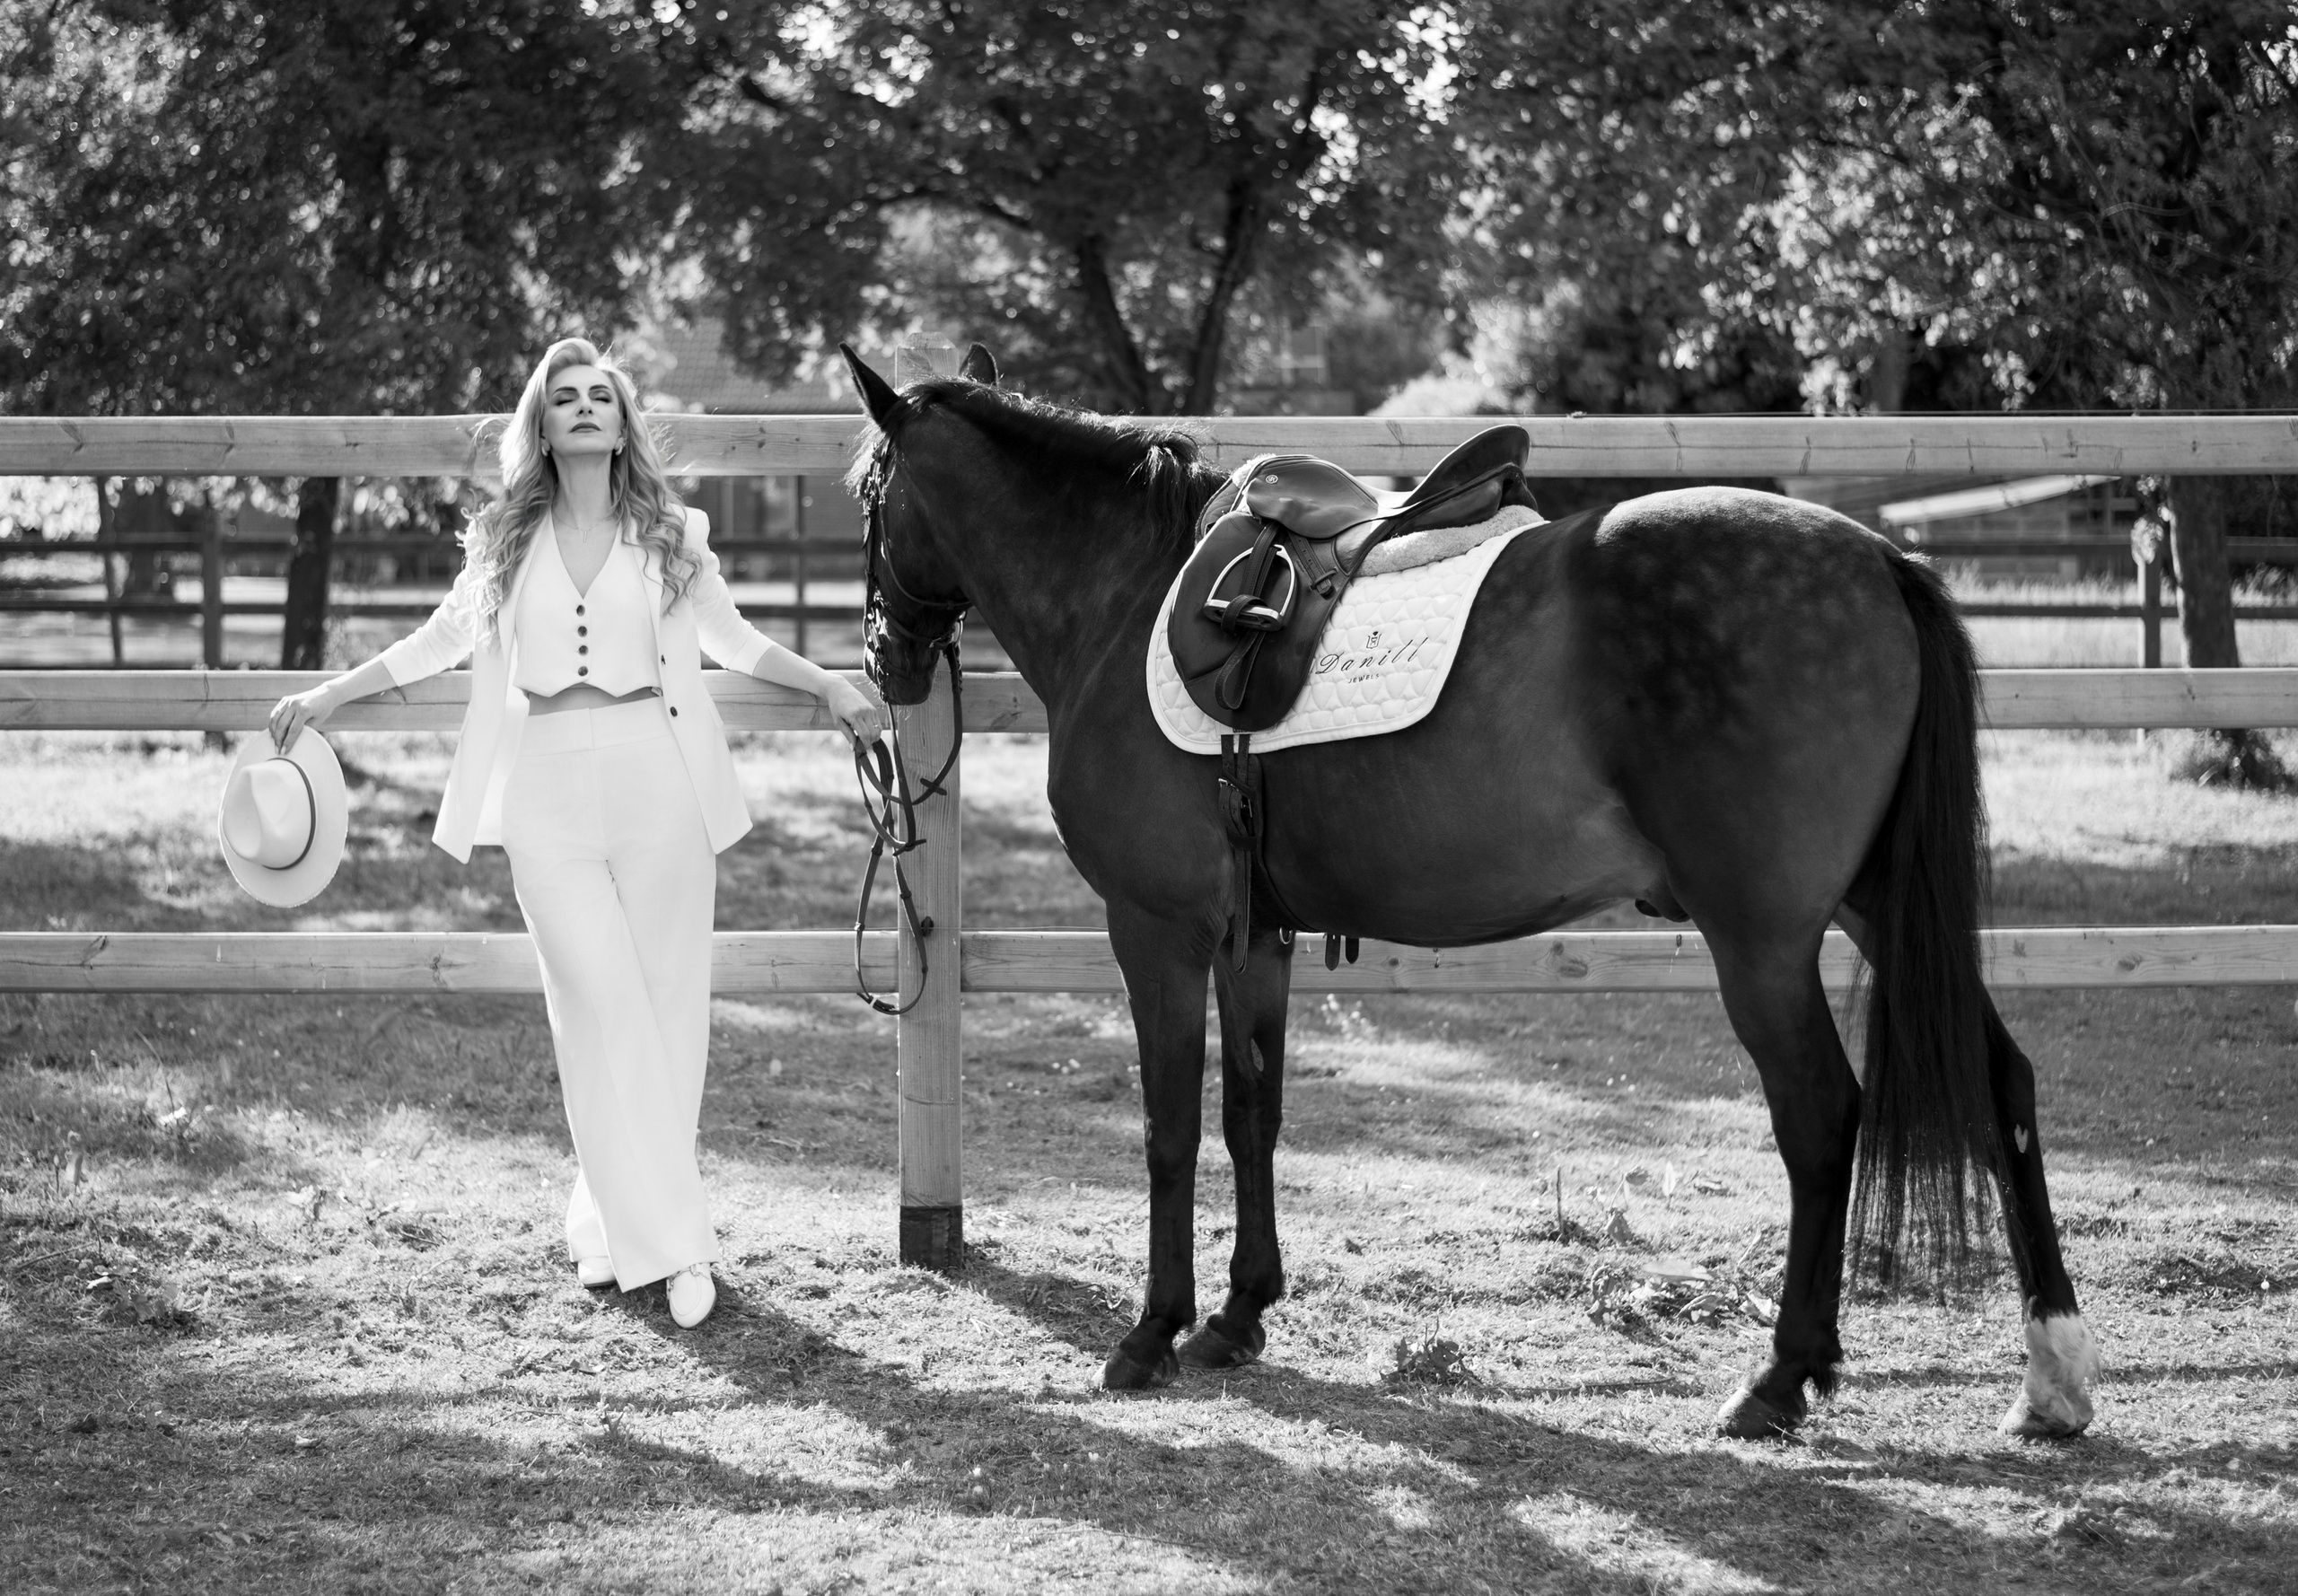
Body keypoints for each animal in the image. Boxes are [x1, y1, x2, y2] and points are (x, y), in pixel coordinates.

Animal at [838, 344, 2102, 1440]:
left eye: (867, 493)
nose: (886, 659)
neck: (1126, 593)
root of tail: (1880, 562)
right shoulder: (1257, 935)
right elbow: (1253, 1111)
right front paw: (1238, 1316)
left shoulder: (1156, 930)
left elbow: (1169, 1124)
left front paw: (1151, 1332)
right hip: (1875, 907)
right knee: (2001, 1081)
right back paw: (2051, 1373)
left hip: (1763, 940)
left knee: (1821, 1115)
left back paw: (1781, 1375)